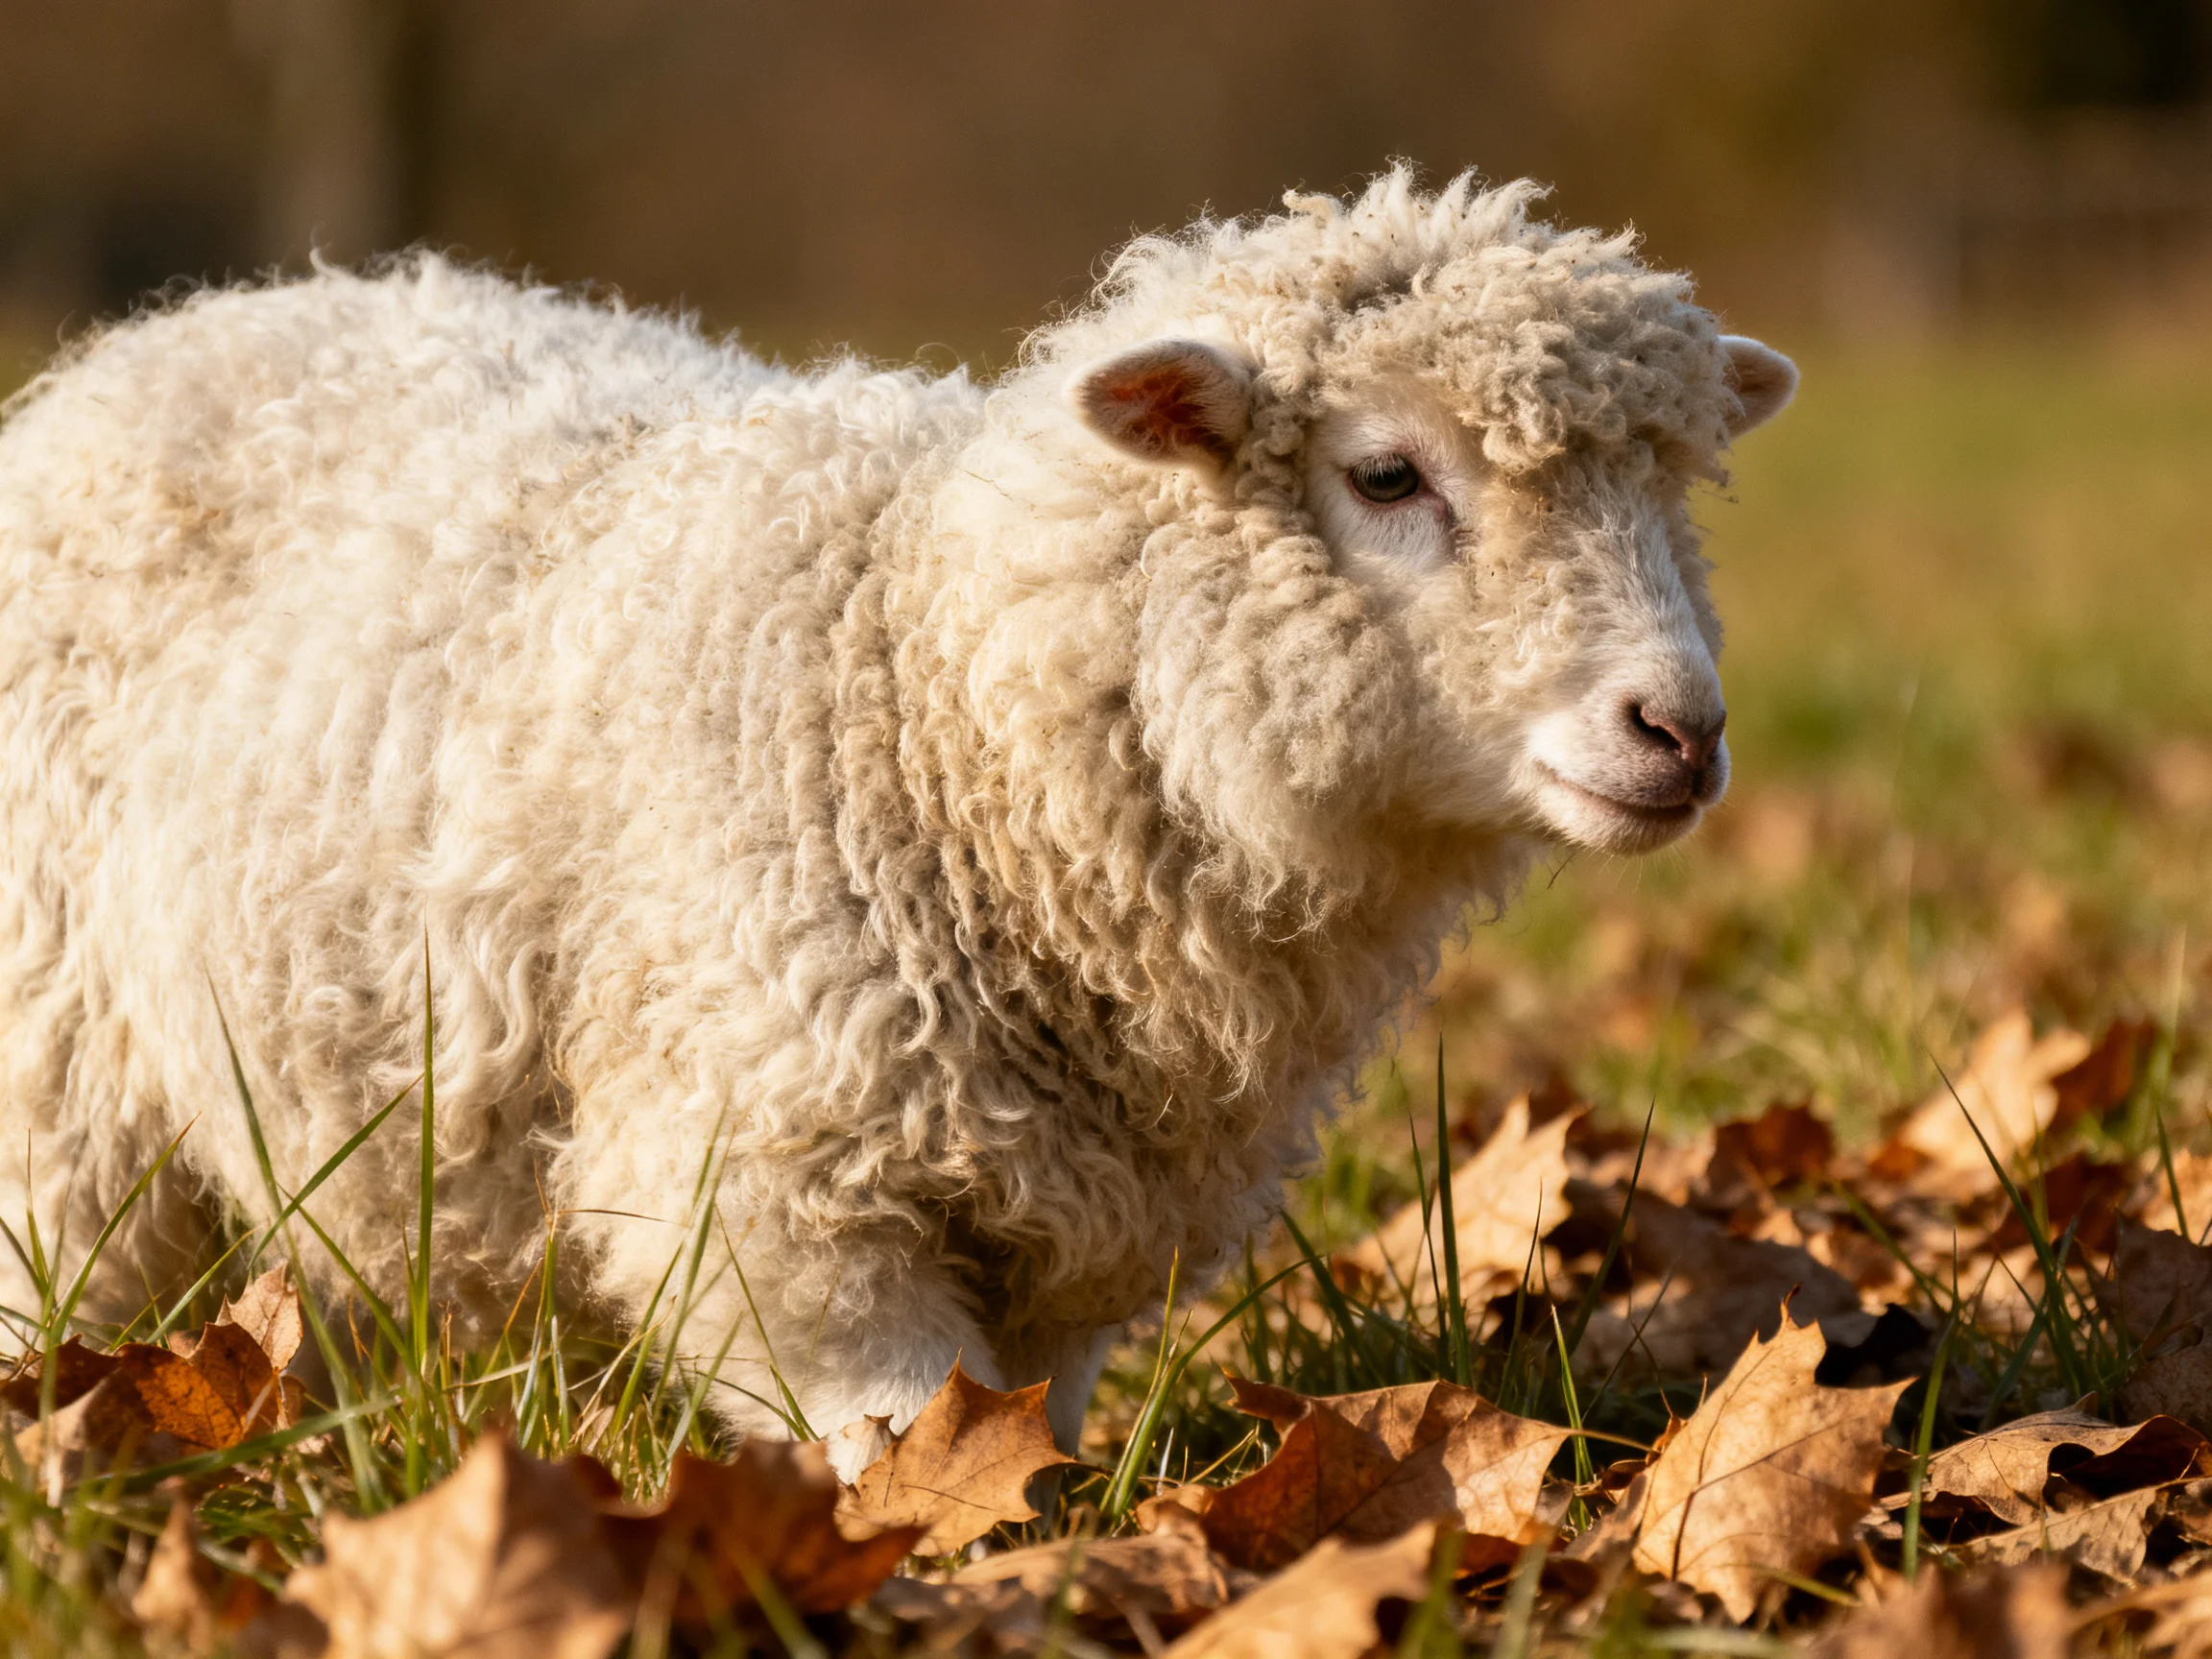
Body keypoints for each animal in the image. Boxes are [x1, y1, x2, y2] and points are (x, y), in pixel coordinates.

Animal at [0, 170, 1795, 1464]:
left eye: (1667, 490)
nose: (1680, 730)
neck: (934, 699)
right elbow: (901, 1446)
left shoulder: (1074, 1239)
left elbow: (1018, 1431)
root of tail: (187, 327)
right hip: (54, 1068)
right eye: (1385, 476)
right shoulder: (778, 1199)